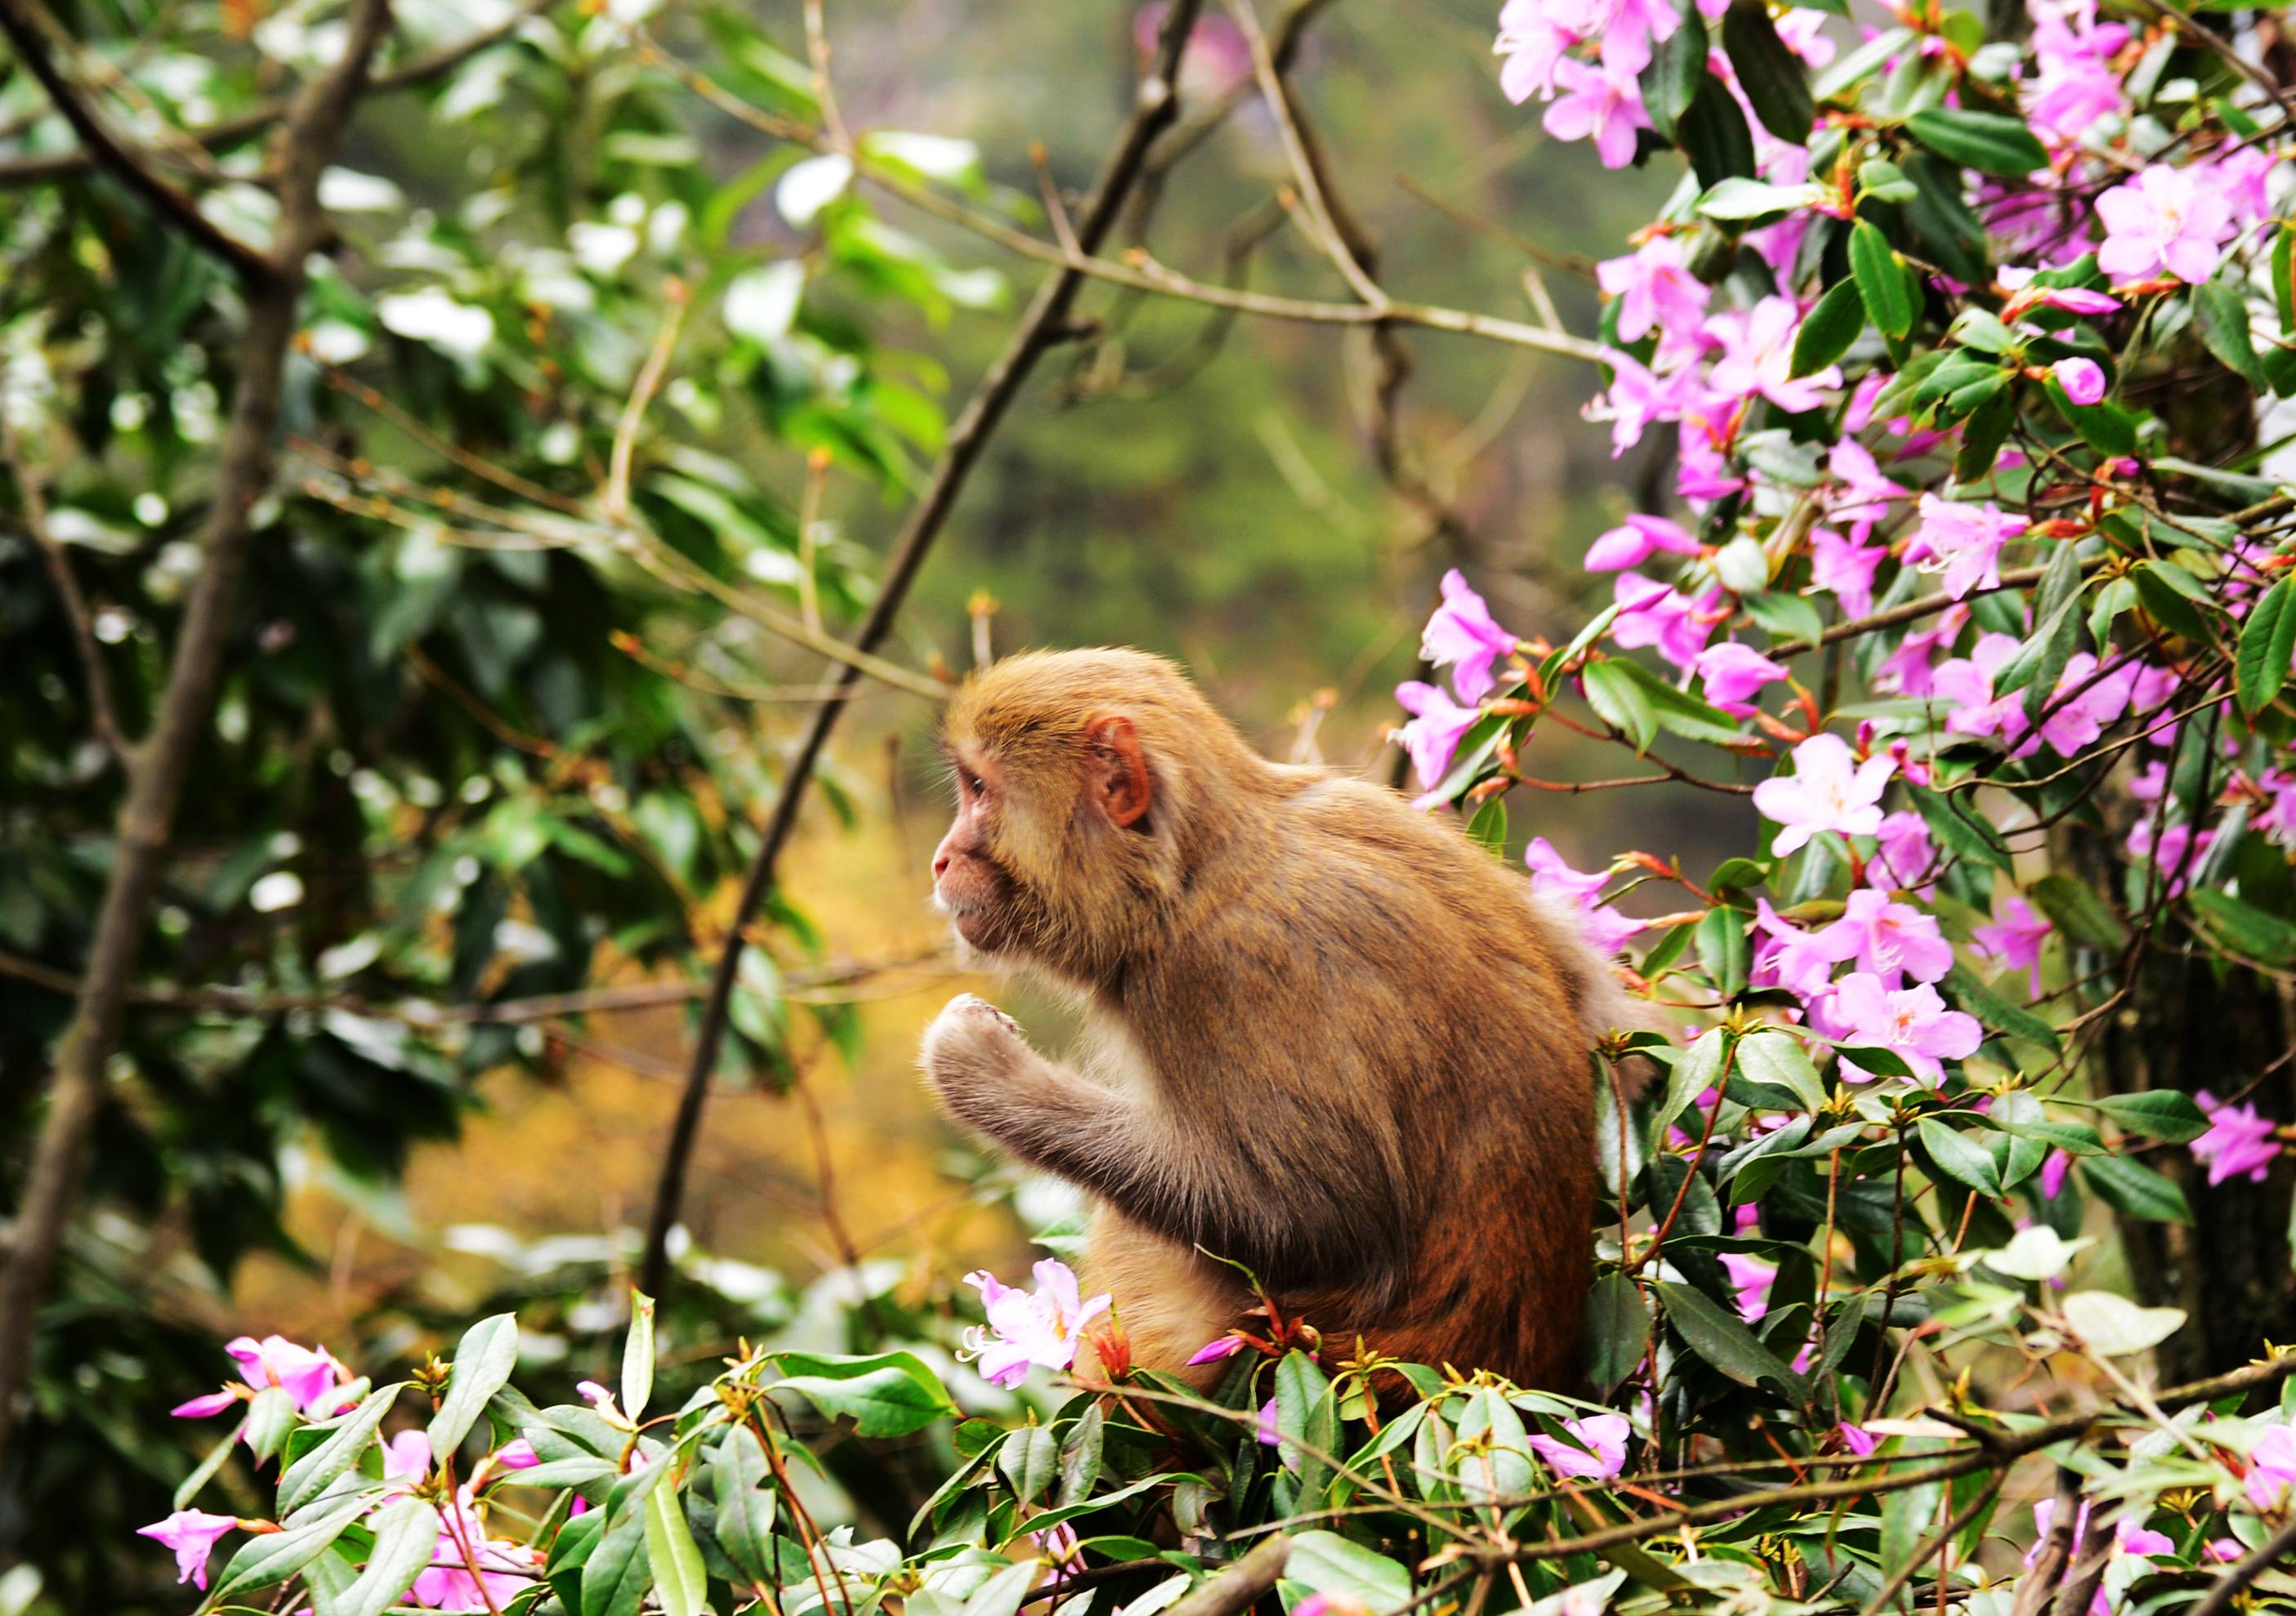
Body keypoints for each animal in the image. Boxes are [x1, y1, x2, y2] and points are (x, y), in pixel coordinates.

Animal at [922, 642, 1643, 1386]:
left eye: (978, 789)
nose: (941, 860)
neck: (1194, 876)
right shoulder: (1361, 804)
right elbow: (1593, 994)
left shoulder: (1229, 972)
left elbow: (1309, 1220)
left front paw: (981, 1069)